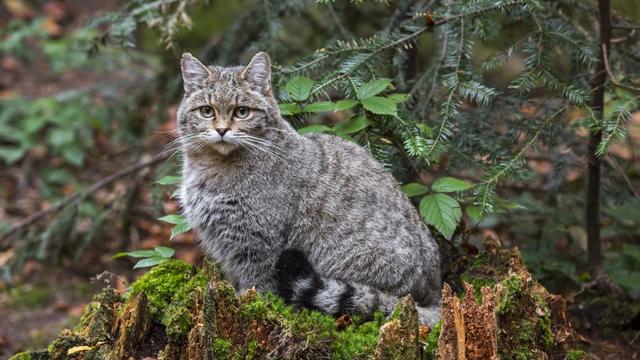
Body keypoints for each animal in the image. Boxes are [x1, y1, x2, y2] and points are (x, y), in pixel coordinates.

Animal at [178, 51, 442, 326]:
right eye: (207, 111)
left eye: (242, 112)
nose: (221, 130)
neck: (214, 167)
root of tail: (434, 296)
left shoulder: (259, 244)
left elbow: (259, 286)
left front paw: (251, 308)